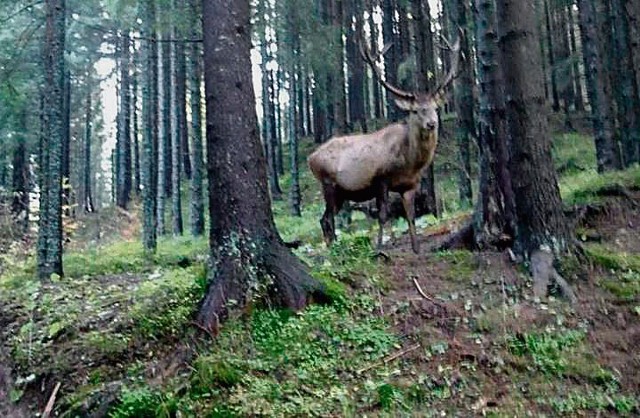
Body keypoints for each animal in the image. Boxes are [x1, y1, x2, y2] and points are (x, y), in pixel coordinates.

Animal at [306, 32, 460, 253]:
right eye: (415, 110)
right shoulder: (381, 180)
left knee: (325, 218)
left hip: (341, 192)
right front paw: (379, 248)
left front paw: (416, 249)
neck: (409, 163)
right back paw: (332, 248)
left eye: (435, 108)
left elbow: (411, 217)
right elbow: (383, 215)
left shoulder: (410, 185)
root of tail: (310, 158)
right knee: (327, 219)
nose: (432, 124)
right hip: (328, 183)